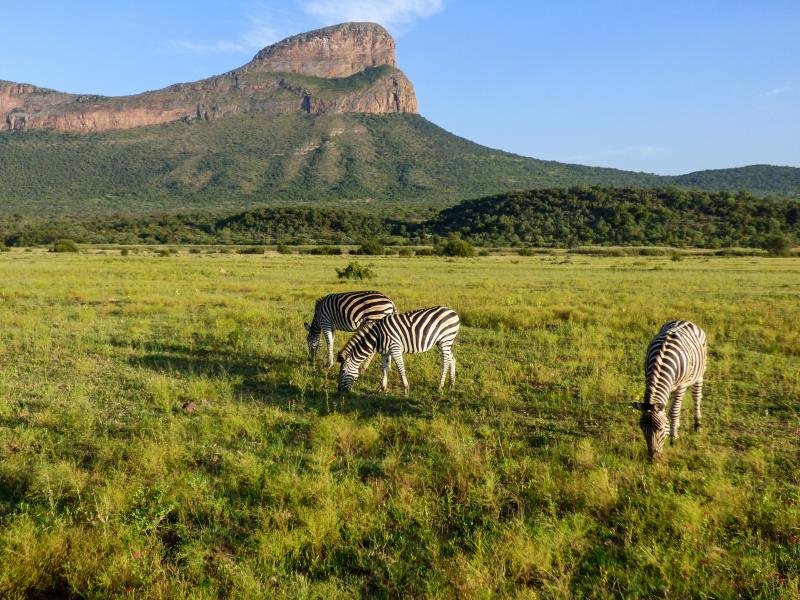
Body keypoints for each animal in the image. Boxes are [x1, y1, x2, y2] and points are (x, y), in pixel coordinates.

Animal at [630, 320, 708, 461]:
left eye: (660, 429)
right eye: (642, 429)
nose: (652, 458)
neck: (660, 362)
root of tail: (685, 321)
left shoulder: (681, 386)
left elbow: (674, 411)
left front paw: (673, 438)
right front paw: (673, 429)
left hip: (699, 374)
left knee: (696, 397)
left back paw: (697, 424)